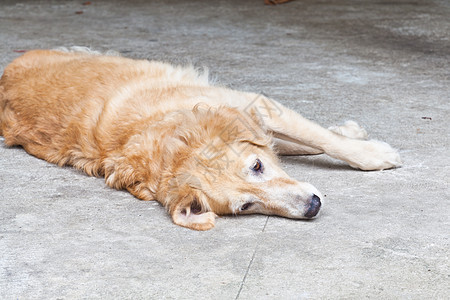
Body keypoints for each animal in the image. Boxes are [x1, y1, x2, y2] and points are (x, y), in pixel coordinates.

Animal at [0, 47, 400, 230]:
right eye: (246, 207)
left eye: (257, 166)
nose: (312, 207)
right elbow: (307, 140)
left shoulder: (257, 106)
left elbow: (320, 139)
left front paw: (367, 150)